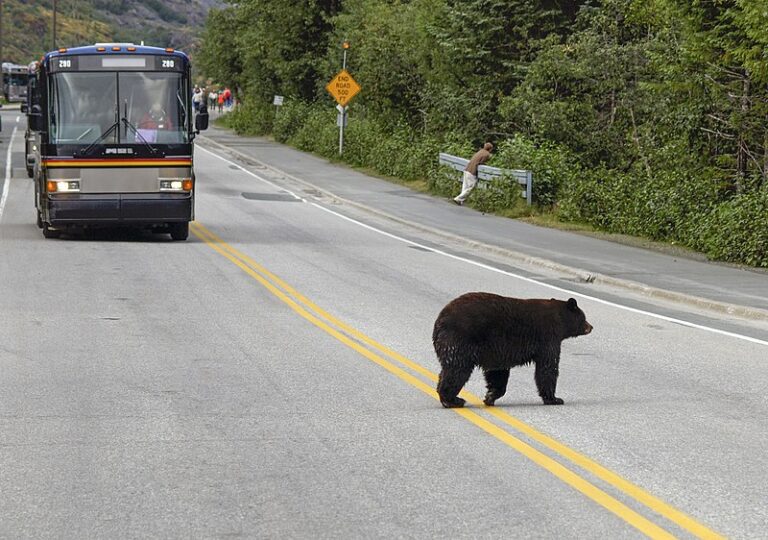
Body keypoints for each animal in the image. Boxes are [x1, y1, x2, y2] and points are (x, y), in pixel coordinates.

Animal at [432, 292, 593, 408]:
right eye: (583, 317)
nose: (590, 326)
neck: (559, 319)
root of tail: (439, 322)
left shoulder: (498, 350)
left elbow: (498, 372)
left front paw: (490, 396)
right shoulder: (548, 337)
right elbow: (547, 367)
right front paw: (554, 399)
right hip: (460, 341)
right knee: (457, 370)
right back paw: (453, 400)